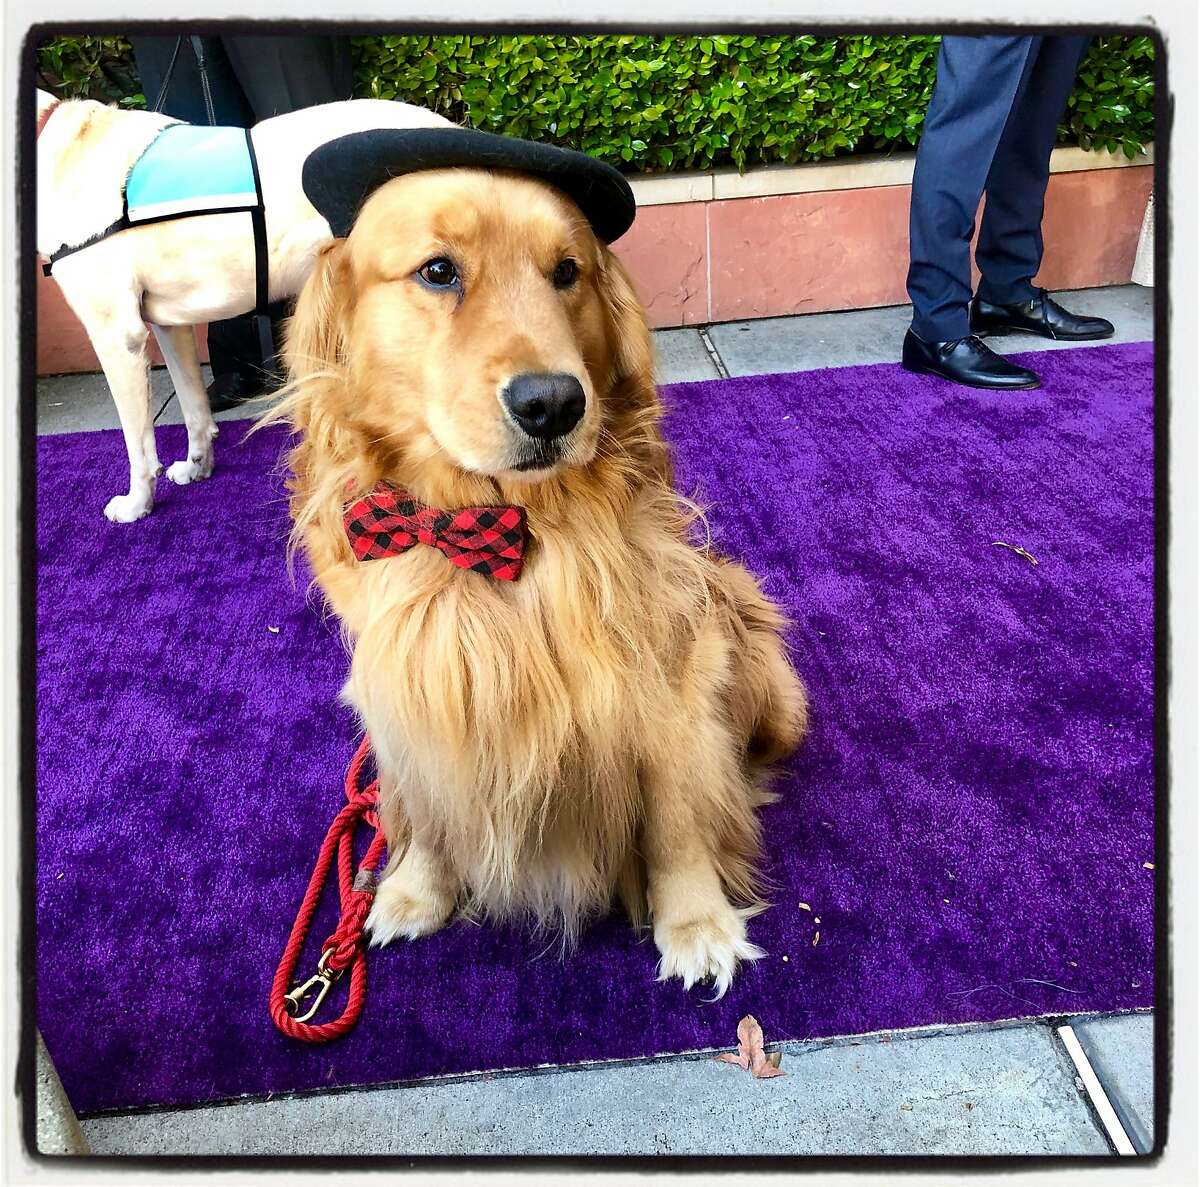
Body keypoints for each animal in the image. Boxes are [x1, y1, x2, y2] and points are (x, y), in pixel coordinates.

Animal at [37, 91, 451, 518]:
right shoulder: (171, 326)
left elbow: (138, 446)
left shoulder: (118, 338)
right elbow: (194, 409)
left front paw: (137, 503)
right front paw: (197, 467)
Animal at [274, 166, 806, 988]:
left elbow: (678, 816)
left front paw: (696, 923)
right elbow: (422, 806)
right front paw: (412, 890)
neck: (497, 532)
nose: (554, 402)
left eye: (567, 272)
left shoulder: (669, 689)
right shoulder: (405, 690)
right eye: (438, 270)